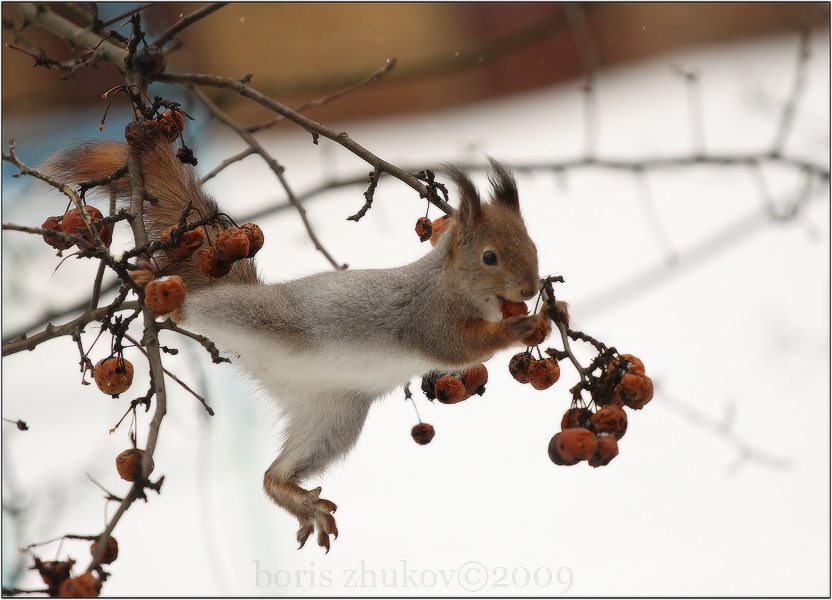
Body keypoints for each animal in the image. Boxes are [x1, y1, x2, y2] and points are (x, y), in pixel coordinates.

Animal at [48, 141, 548, 552]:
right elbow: (459, 347)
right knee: (203, 309)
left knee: (274, 475)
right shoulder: (430, 320)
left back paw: (296, 499)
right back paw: (166, 292)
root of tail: (272, 371)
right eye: (489, 257)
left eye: (533, 245)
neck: (451, 284)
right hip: (260, 317)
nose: (530, 288)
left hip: (333, 417)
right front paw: (522, 326)